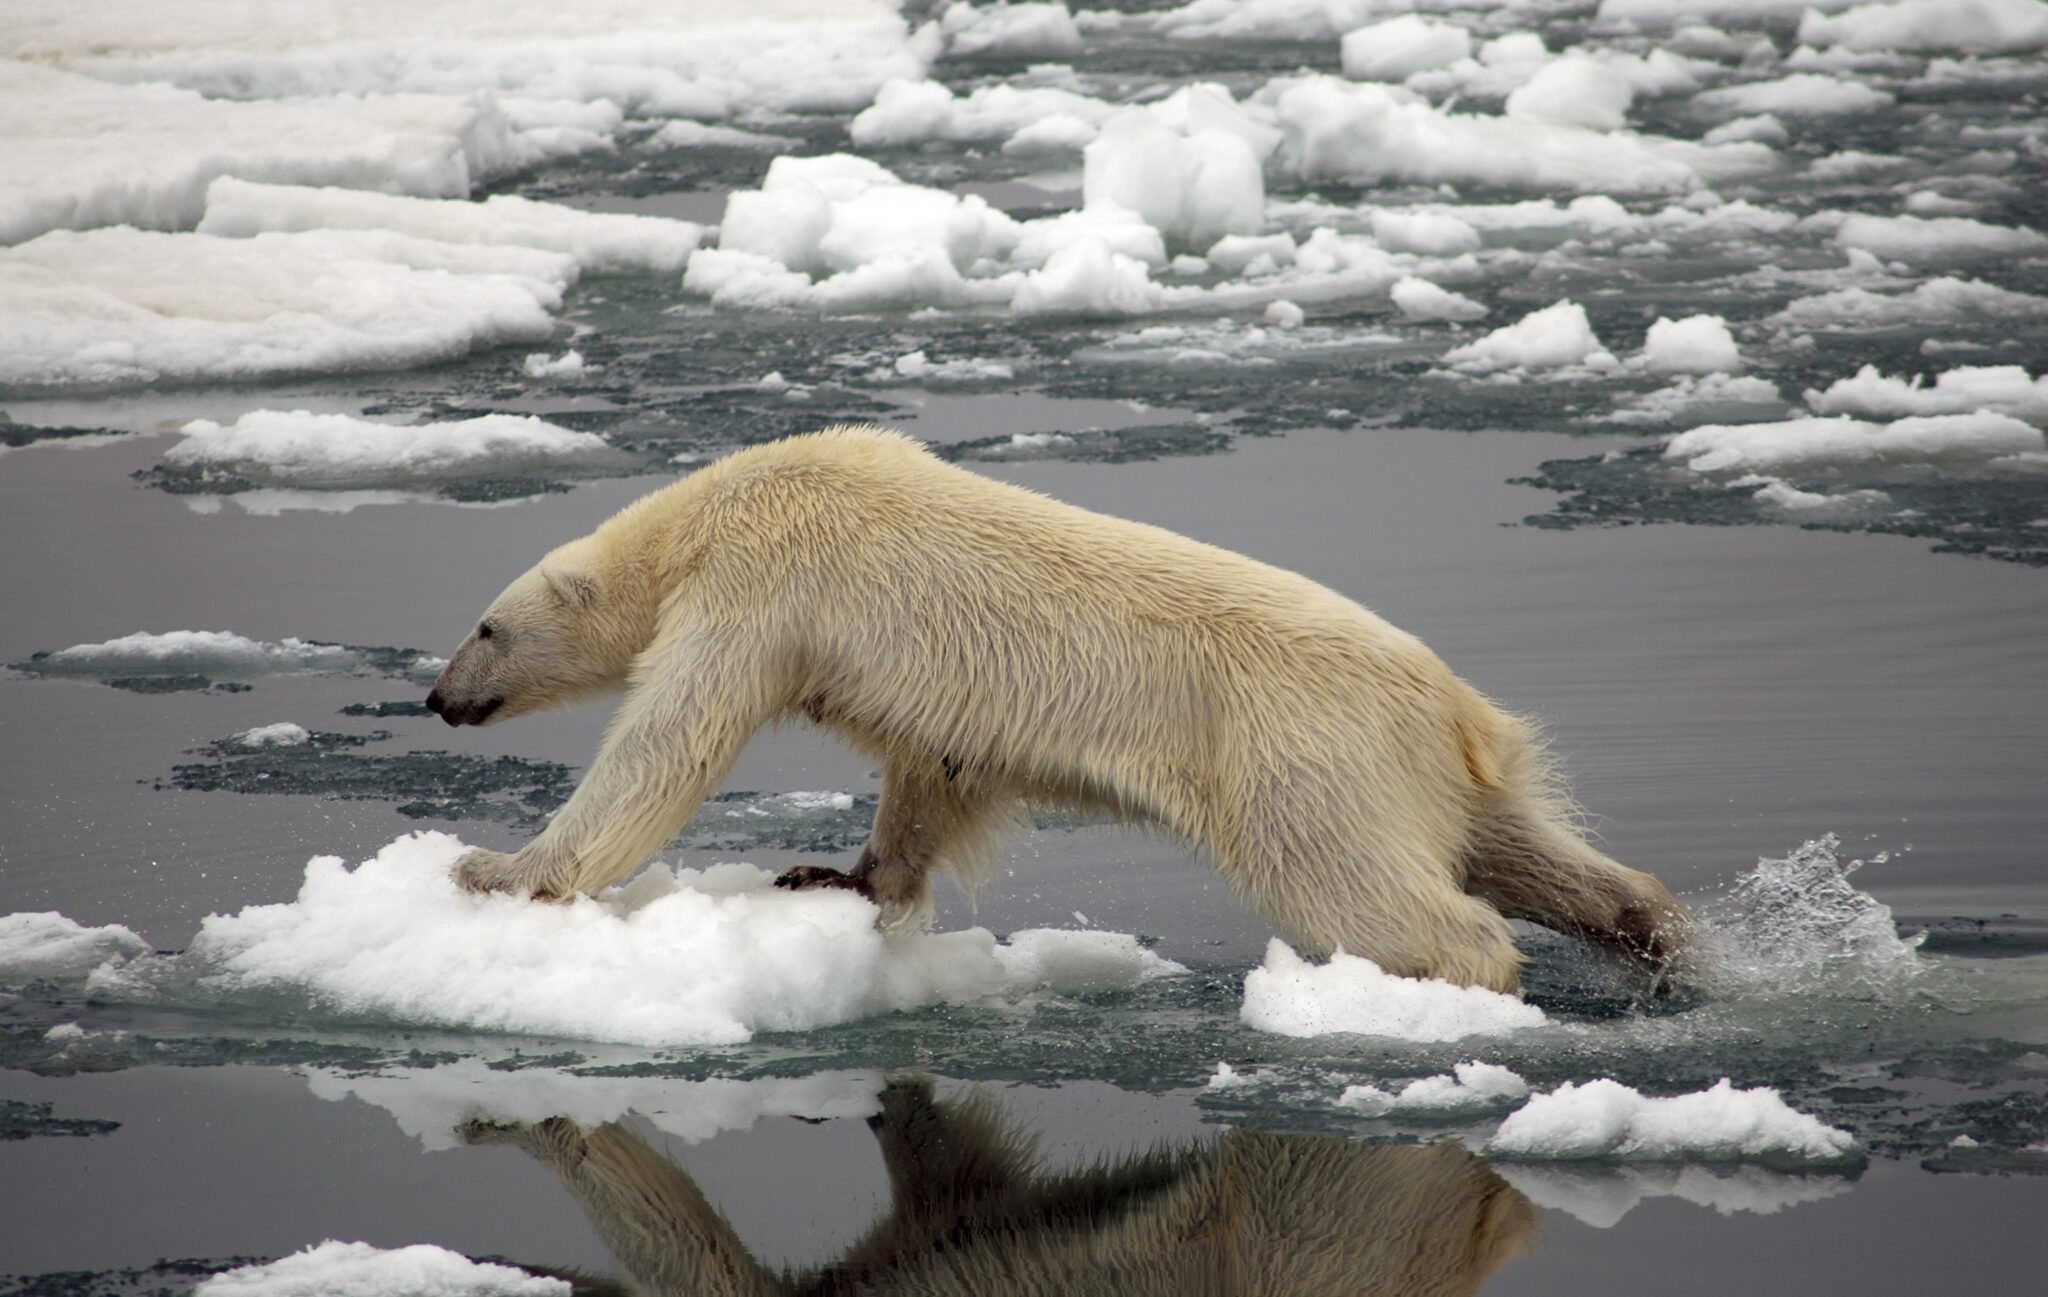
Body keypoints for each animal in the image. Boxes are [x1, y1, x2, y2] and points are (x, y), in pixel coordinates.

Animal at [423, 420, 1687, 987]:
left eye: (484, 626)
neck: (715, 505)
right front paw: (836, 875)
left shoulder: (762, 583)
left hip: (1302, 753)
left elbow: (667, 742)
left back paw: (1447, 974)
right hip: (1436, 768)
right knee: (1534, 853)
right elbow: (928, 770)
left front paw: (496, 868)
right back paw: (1657, 935)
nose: (436, 697)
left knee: (1359, 881)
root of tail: (1456, 708)